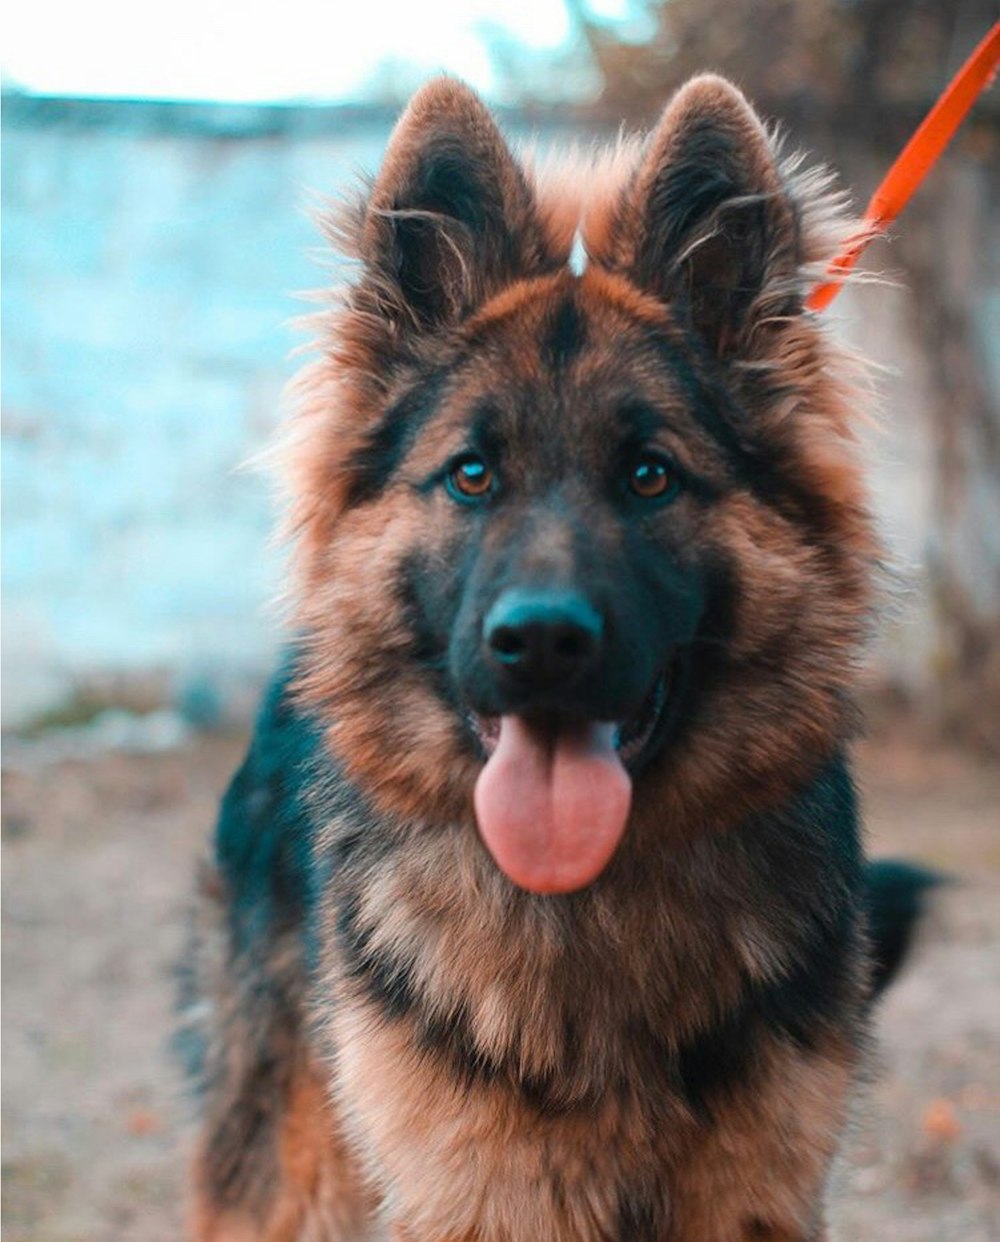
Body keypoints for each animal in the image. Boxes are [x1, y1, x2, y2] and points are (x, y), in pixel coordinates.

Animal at [183, 75, 939, 1232]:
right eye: (471, 474)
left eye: (649, 474)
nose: (539, 642)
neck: (586, 907)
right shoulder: (472, 1190)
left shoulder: (756, 1190)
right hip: (294, 1165)